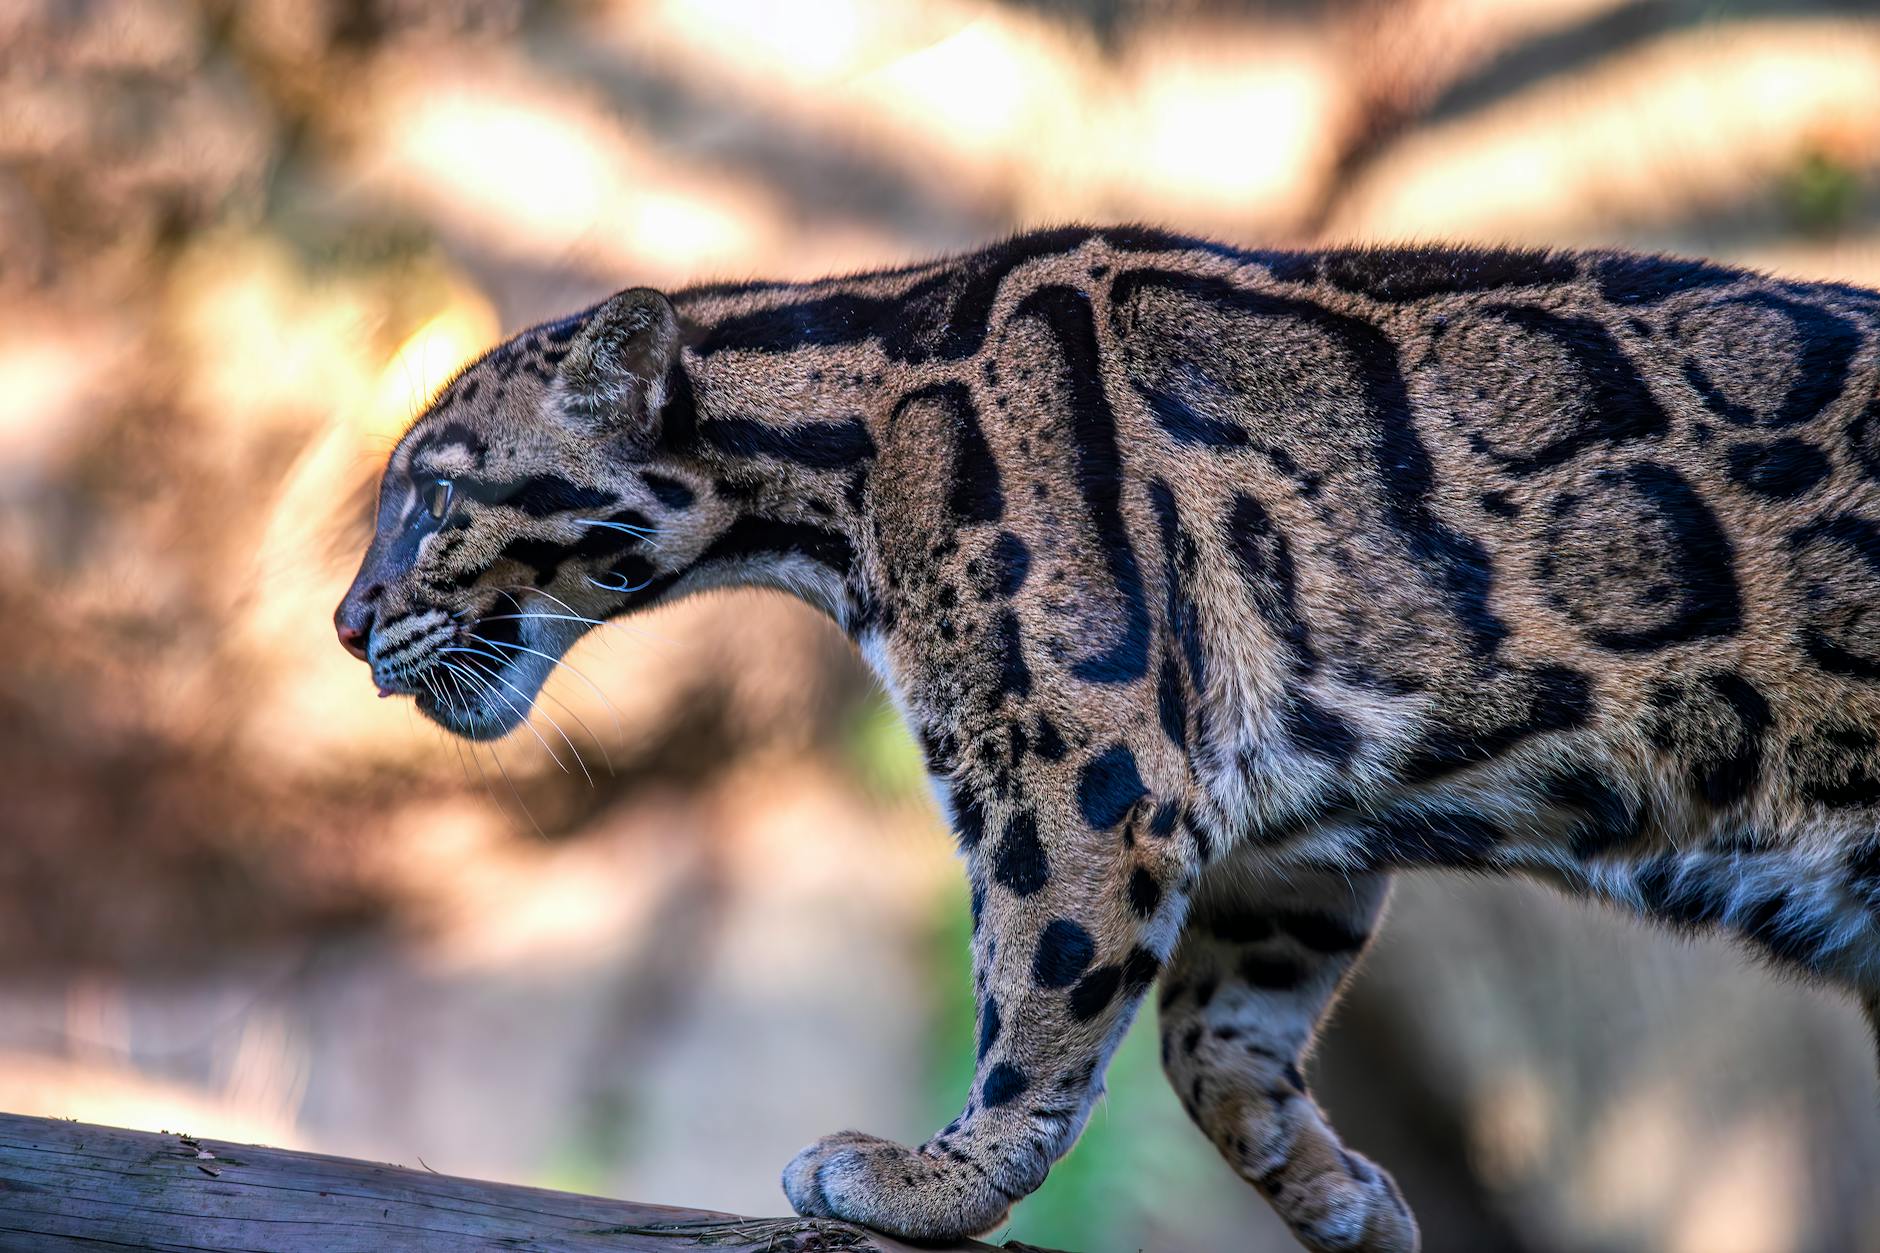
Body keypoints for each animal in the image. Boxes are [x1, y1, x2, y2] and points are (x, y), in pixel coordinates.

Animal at [336, 225, 1880, 1253]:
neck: (834, 460)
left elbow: (1043, 980)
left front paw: (937, 1178)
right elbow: (1215, 1033)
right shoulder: (1278, 837)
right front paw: (1335, 1194)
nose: (347, 625)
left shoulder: (1082, 757)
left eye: (433, 495)